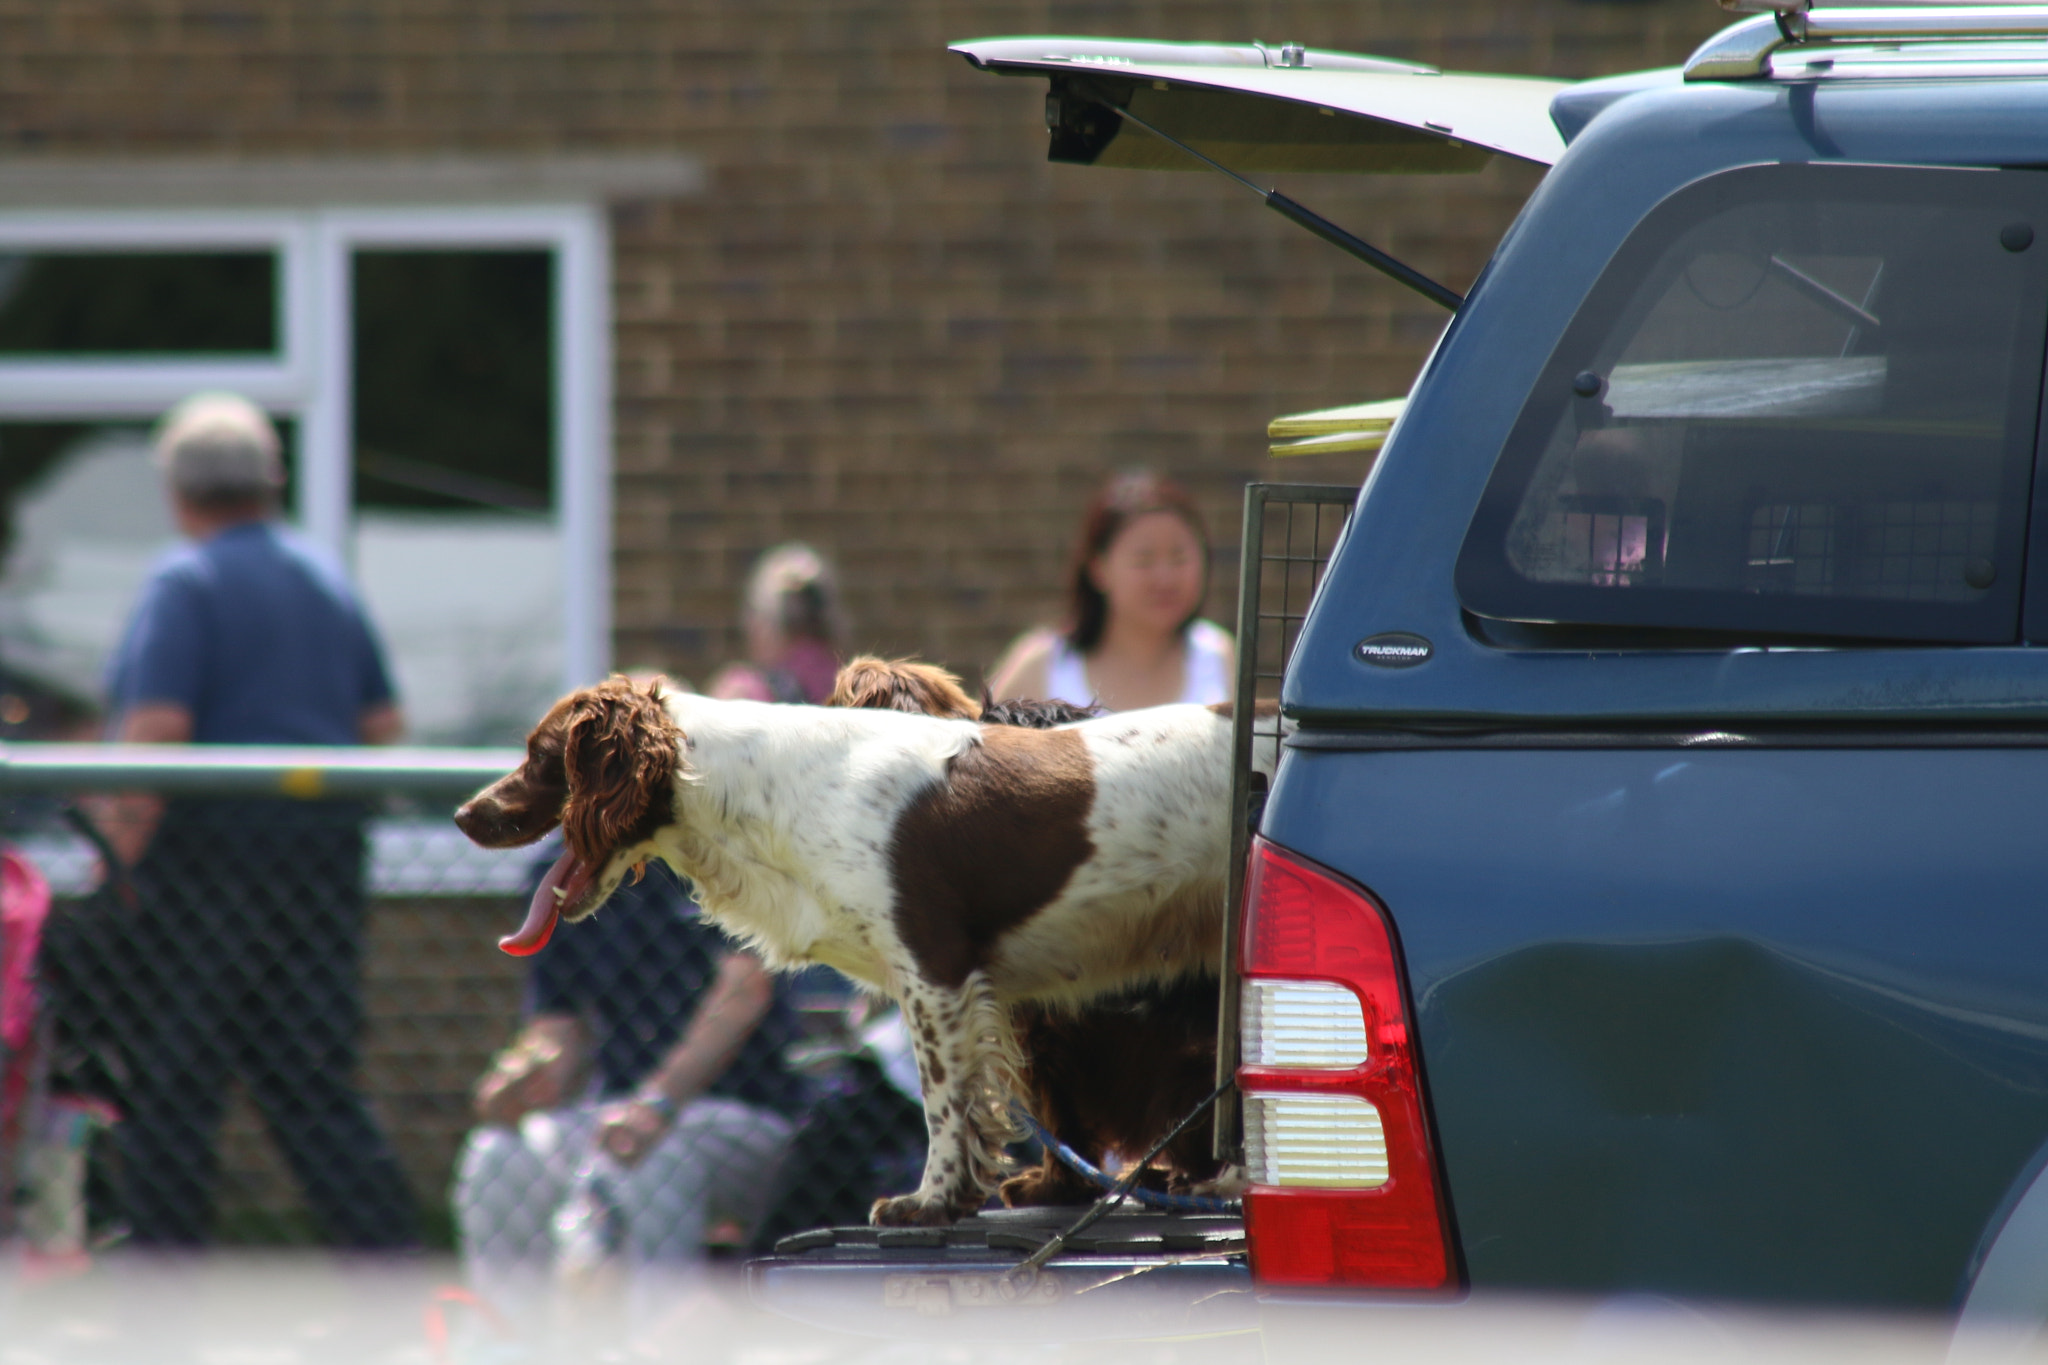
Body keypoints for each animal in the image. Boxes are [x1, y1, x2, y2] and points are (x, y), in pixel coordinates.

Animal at [460, 675, 1261, 1227]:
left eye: (541, 756)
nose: (465, 815)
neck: (751, 787)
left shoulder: (933, 968)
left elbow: (944, 1100)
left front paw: (930, 1199)